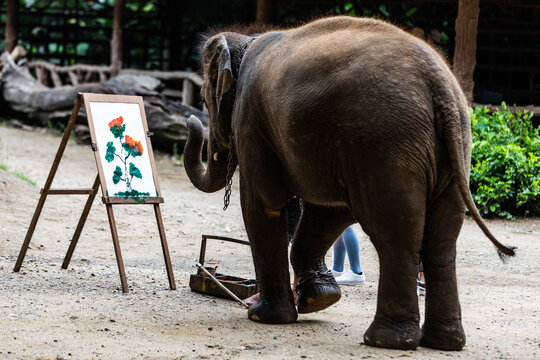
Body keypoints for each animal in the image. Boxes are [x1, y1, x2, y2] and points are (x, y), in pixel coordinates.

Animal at [184, 15, 516, 350]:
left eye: (204, 102)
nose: (190, 121)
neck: (246, 40)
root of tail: (440, 85)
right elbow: (332, 209)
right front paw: (320, 299)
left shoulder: (251, 119)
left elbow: (263, 203)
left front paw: (264, 316)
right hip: (454, 146)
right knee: (442, 241)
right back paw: (443, 342)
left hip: (383, 143)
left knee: (394, 235)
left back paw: (385, 340)